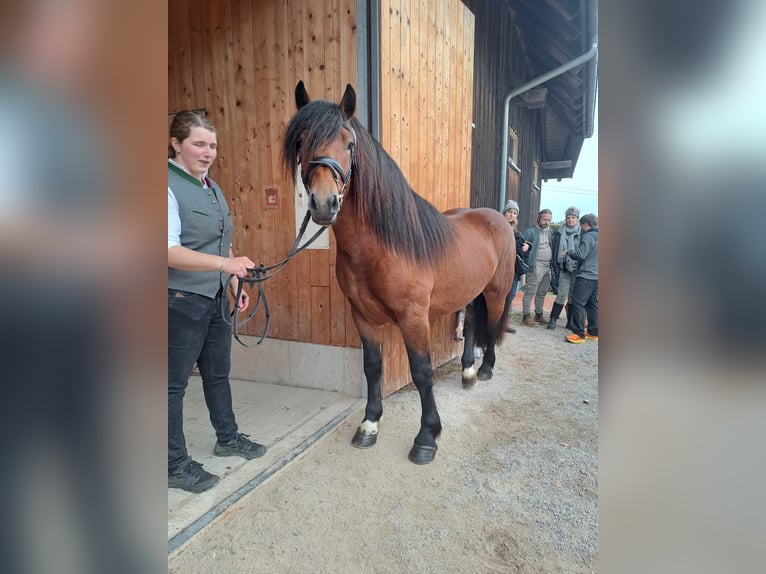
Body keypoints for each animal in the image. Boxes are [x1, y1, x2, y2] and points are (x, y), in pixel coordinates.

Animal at [282, 83, 516, 466]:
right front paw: (369, 425)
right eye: (301, 141)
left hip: (496, 292)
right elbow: (373, 367)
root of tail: (498, 219)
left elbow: (421, 372)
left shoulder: (413, 316)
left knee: (492, 325)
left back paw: (485, 370)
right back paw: (467, 370)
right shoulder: (362, 315)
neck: (381, 245)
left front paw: (427, 438)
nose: (323, 204)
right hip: (469, 290)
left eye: (349, 143)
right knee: (470, 324)